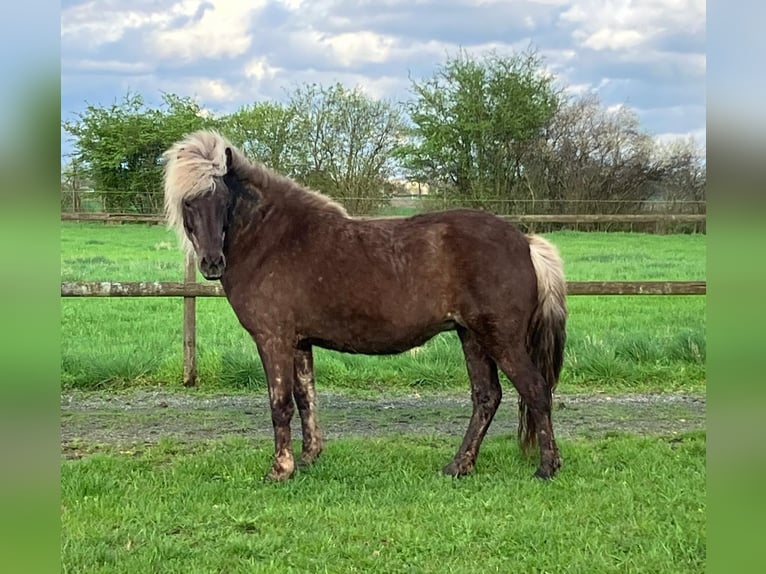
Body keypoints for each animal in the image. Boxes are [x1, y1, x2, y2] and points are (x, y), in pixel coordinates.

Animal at [164, 130, 568, 482]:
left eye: (222, 200)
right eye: (189, 202)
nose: (212, 263)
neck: (273, 241)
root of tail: (526, 242)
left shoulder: (273, 339)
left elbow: (280, 404)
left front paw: (280, 469)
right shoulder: (299, 342)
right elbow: (306, 397)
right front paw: (309, 457)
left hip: (500, 338)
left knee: (535, 390)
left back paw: (546, 468)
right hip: (472, 336)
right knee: (486, 397)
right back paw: (458, 466)